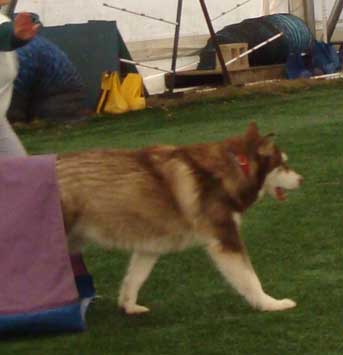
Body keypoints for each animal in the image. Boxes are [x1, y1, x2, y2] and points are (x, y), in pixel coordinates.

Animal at [56, 124, 304, 316]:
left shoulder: (150, 244)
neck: (234, 168)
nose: (302, 179)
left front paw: (129, 306)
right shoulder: (225, 239)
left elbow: (134, 278)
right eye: (283, 165)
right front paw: (271, 304)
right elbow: (251, 279)